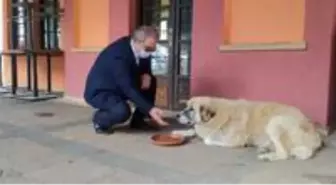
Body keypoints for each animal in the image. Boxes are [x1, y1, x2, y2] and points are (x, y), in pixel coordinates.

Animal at [175, 96, 330, 161]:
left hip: (274, 122)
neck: (217, 115)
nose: (177, 115)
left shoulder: (234, 140)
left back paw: (267, 156)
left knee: (284, 154)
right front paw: (179, 132)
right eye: (185, 106)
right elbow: (193, 130)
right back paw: (265, 149)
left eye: (191, 109)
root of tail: (316, 133)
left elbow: (208, 139)